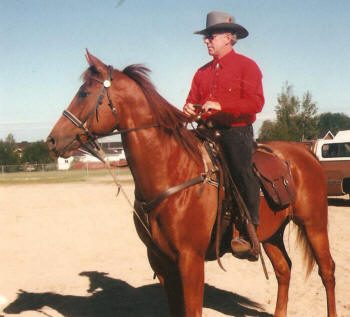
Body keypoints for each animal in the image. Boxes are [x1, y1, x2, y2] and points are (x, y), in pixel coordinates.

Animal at [46, 52, 336, 316]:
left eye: (84, 93)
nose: (52, 140)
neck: (172, 173)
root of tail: (306, 152)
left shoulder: (191, 261)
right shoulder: (161, 261)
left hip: (314, 224)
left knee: (327, 271)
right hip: (271, 234)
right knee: (284, 270)